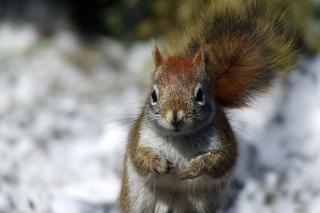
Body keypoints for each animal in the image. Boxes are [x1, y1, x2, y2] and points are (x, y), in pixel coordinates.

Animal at [117, 0, 296, 212]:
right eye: (153, 95)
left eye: (200, 94)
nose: (175, 117)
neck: (180, 139)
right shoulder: (139, 137)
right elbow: (139, 157)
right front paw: (159, 163)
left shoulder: (223, 140)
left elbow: (220, 160)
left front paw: (193, 168)